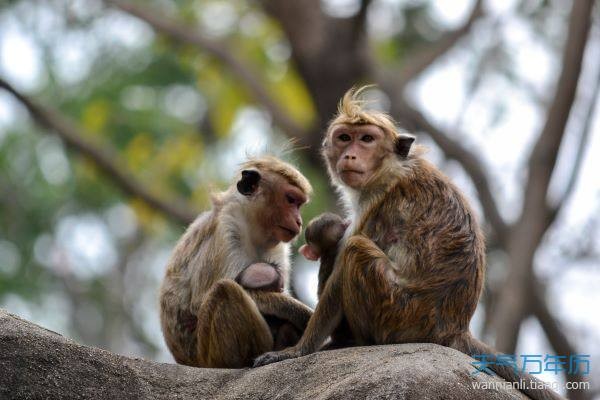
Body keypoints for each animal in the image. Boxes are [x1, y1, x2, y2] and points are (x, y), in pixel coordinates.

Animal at [159, 155, 314, 368]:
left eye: (299, 204)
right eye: (290, 200)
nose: (299, 221)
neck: (252, 227)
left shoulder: (279, 246)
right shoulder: (228, 227)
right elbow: (198, 304)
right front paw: (298, 310)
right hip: (208, 355)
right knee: (224, 290)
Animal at [253, 88, 564, 400]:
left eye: (367, 139)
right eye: (345, 137)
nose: (350, 154)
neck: (389, 168)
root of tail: (454, 330)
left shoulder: (374, 203)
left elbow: (339, 275)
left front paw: (296, 351)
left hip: (397, 312)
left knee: (355, 249)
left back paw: (355, 341)